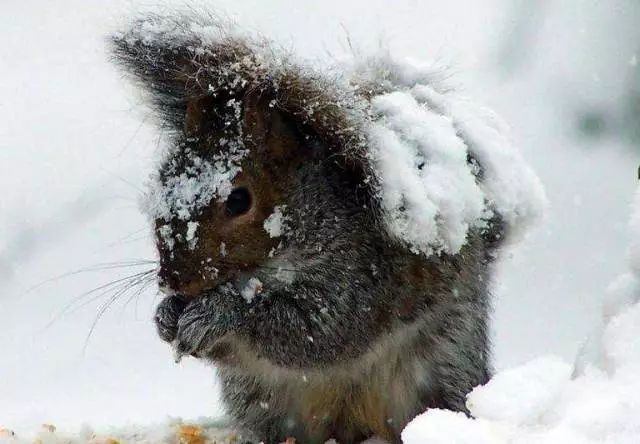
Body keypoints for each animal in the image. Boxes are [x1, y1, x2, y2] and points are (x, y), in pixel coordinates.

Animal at [110, 12, 540, 442]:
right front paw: (166, 316)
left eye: (238, 200)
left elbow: (318, 330)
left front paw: (218, 313)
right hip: (257, 398)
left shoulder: (361, 272)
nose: (173, 281)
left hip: (443, 363)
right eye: (162, 183)